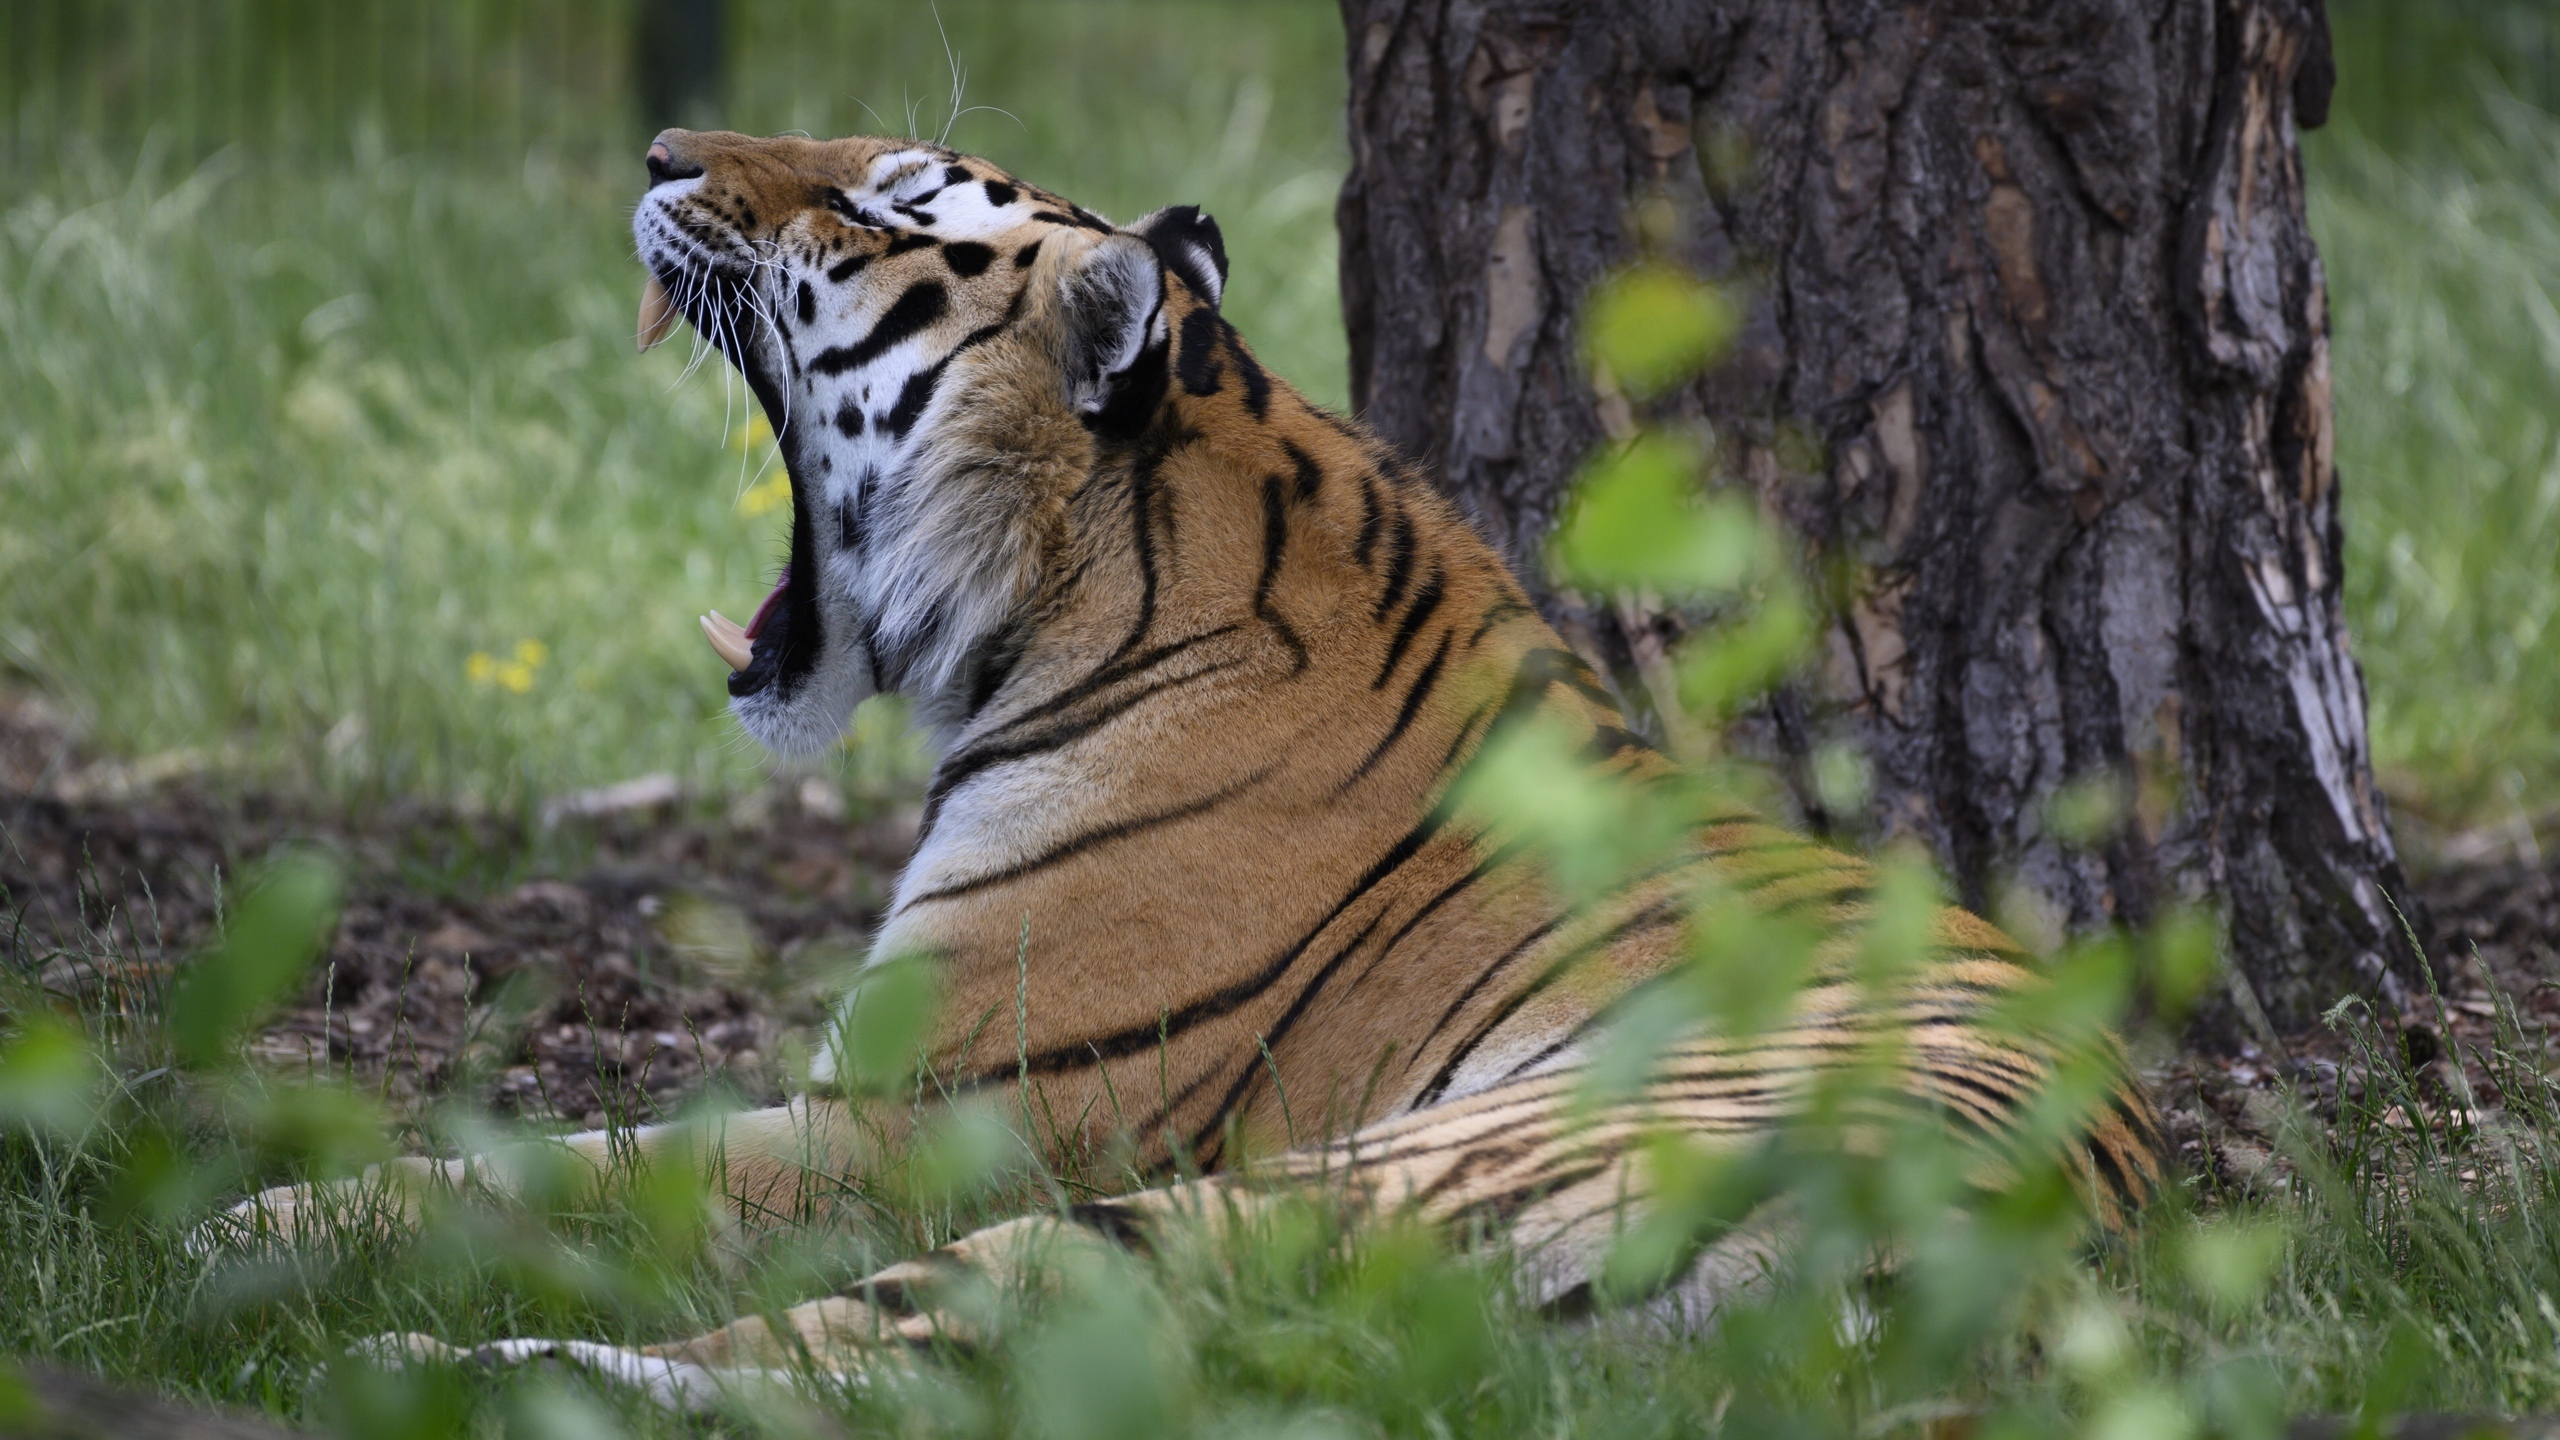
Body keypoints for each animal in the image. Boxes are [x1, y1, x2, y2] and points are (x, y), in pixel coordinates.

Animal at [235, 126, 2160, 1393]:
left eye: (876, 201)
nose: (655, 147)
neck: (1088, 583)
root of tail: (1961, 1258)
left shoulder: (925, 1116)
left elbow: (573, 1164)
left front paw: (248, 1223)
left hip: (1267, 1199)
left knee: (832, 1364)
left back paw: (418, 1367)